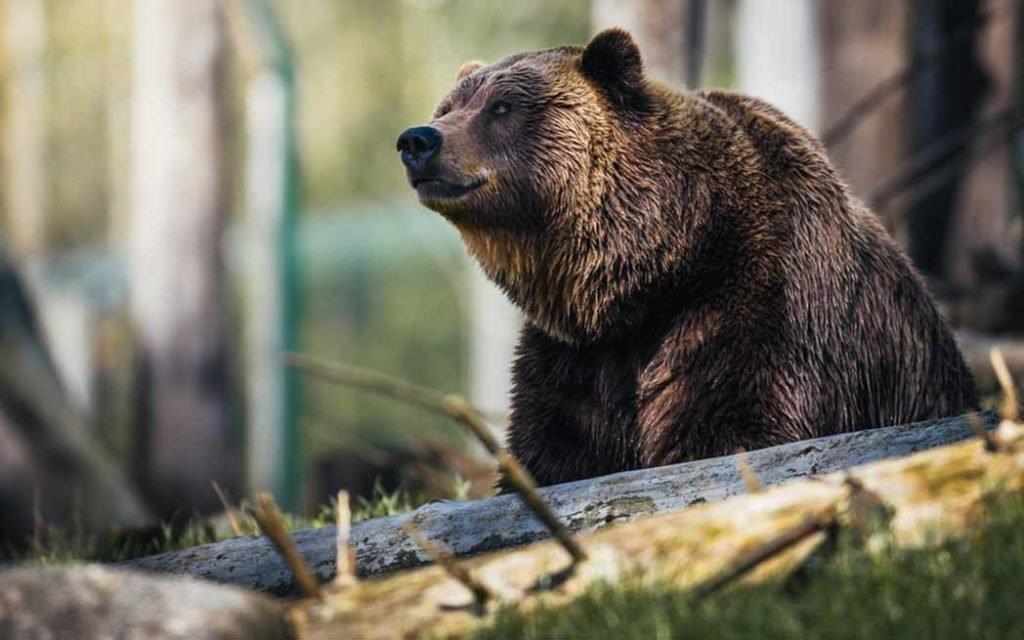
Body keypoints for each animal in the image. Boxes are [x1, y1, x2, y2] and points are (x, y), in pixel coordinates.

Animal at [396, 28, 978, 487]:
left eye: (502, 107)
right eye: (448, 107)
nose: (418, 140)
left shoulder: (761, 306)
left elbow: (731, 427)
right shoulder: (576, 359)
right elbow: (554, 451)